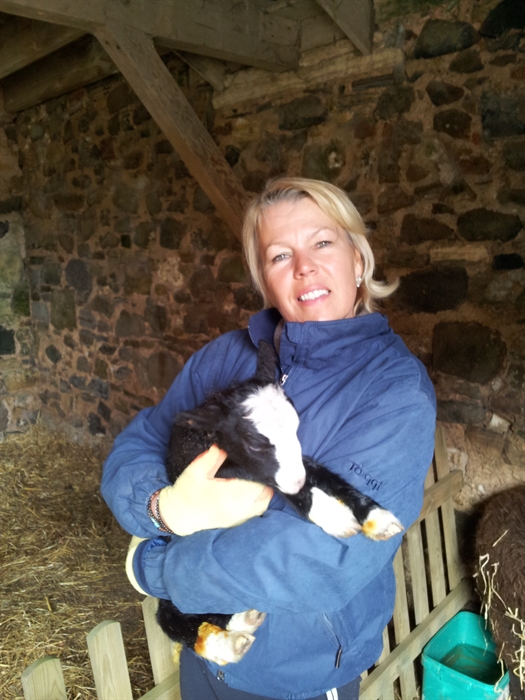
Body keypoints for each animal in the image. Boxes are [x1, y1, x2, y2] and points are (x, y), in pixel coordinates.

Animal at [156, 340, 404, 666]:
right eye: (255, 443)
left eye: (297, 423)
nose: (297, 481)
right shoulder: (221, 467)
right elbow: (271, 477)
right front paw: (333, 516)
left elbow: (319, 470)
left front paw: (377, 518)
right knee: (172, 618)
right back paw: (223, 644)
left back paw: (244, 621)